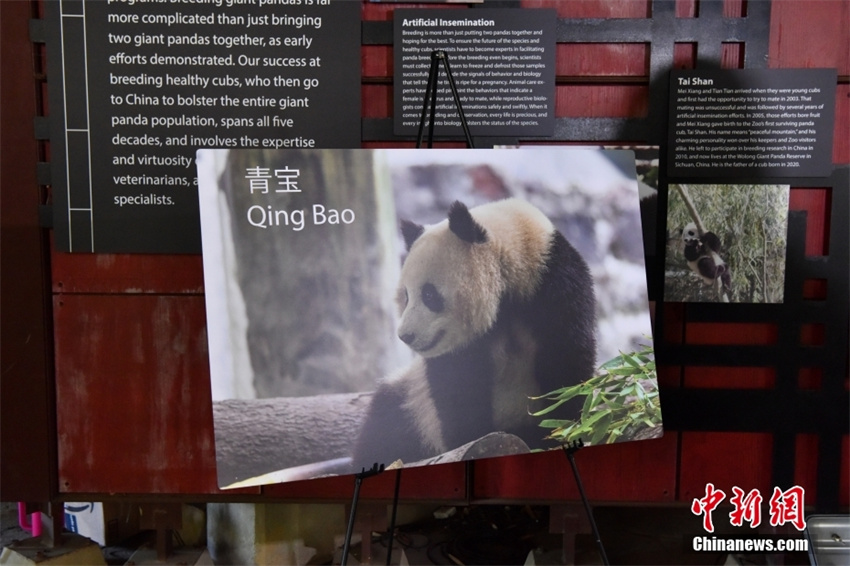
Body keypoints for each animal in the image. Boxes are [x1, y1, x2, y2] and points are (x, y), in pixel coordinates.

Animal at [352, 200, 596, 470]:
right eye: (405, 296)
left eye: (429, 295)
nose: (406, 335)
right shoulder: (458, 353)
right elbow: (458, 395)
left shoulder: (554, 287)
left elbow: (566, 364)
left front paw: (562, 429)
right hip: (410, 403)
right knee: (384, 429)